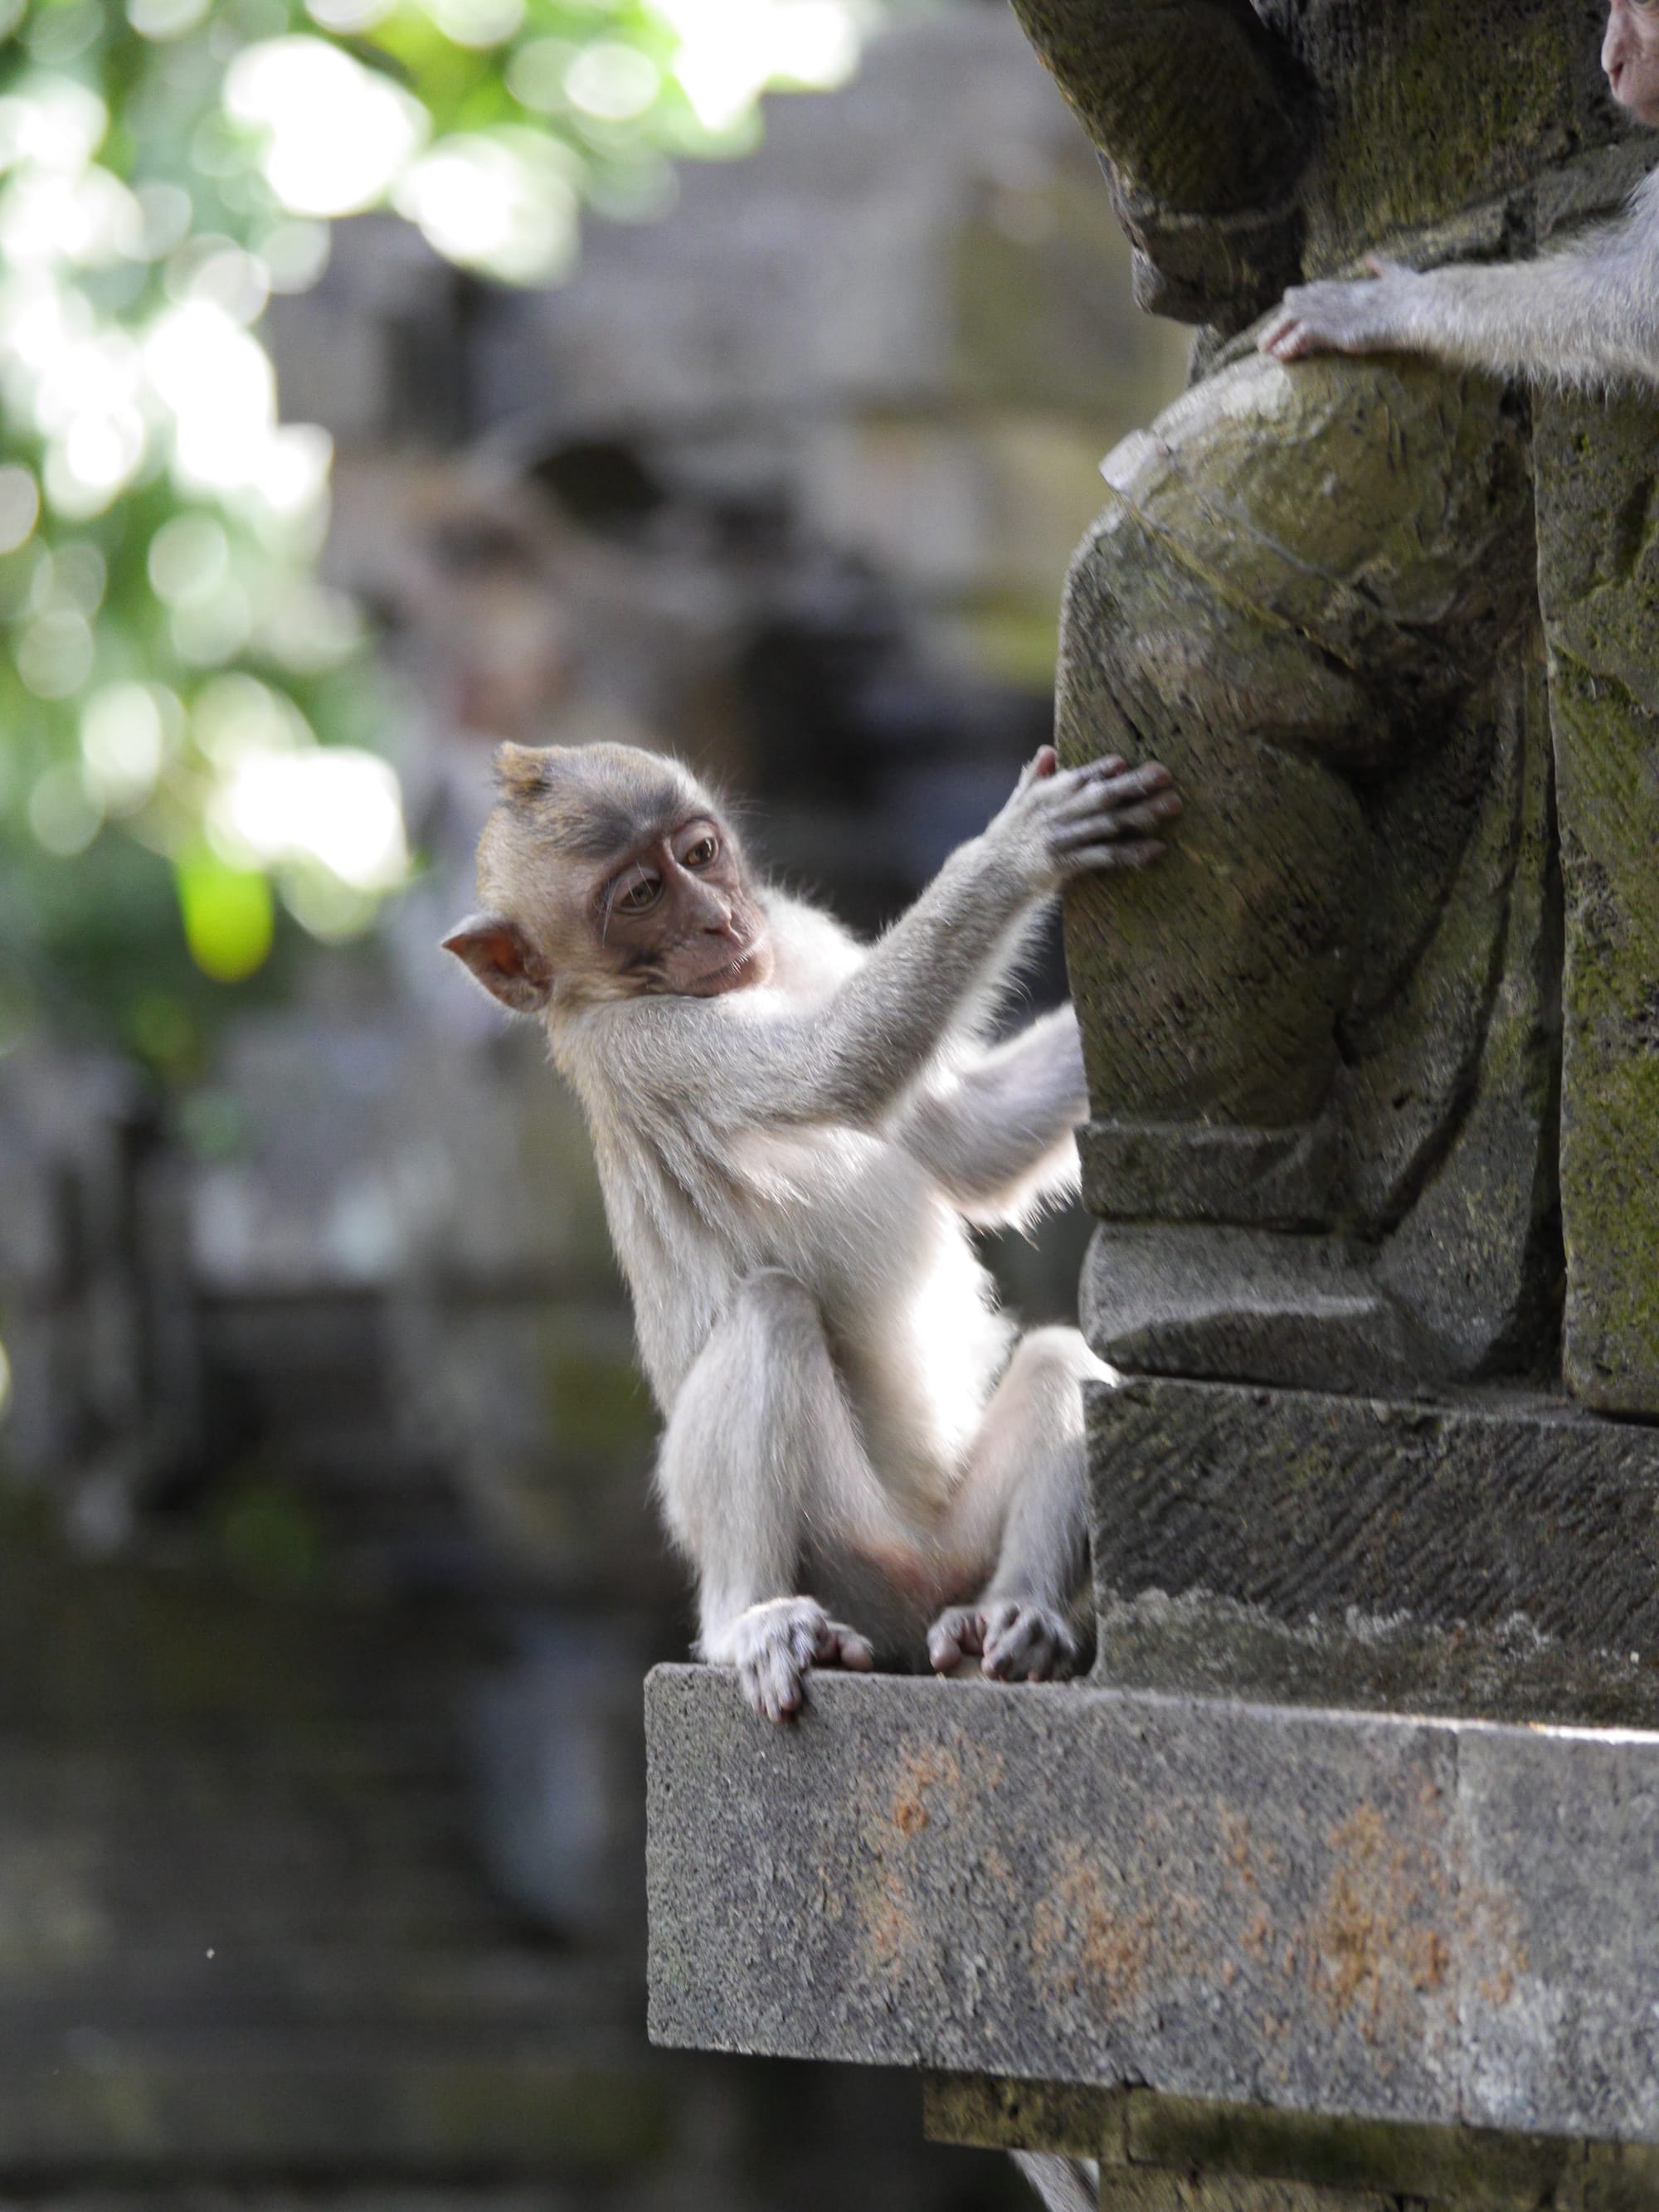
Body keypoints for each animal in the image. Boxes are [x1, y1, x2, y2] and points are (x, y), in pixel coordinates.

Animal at [445, 734, 1185, 1716]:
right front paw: (1015, 851)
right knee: (769, 1313)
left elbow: (965, 1136)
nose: (719, 922)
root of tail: (914, 1598)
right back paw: (749, 1621)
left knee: (1064, 1364)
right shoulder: (644, 1044)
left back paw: (1018, 1618)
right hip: (848, 1551)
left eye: (697, 854)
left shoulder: (791, 931)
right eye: (639, 897)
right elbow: (834, 1069)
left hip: (951, 1544)